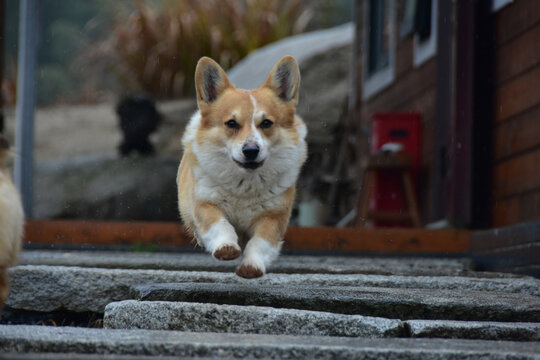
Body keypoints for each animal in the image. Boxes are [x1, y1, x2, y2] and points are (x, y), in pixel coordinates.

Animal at [176, 54, 306, 278]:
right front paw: (226, 247)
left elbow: (260, 242)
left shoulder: (274, 216)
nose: (251, 150)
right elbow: (220, 225)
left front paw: (251, 266)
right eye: (231, 123)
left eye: (266, 123)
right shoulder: (206, 203)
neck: (244, 183)